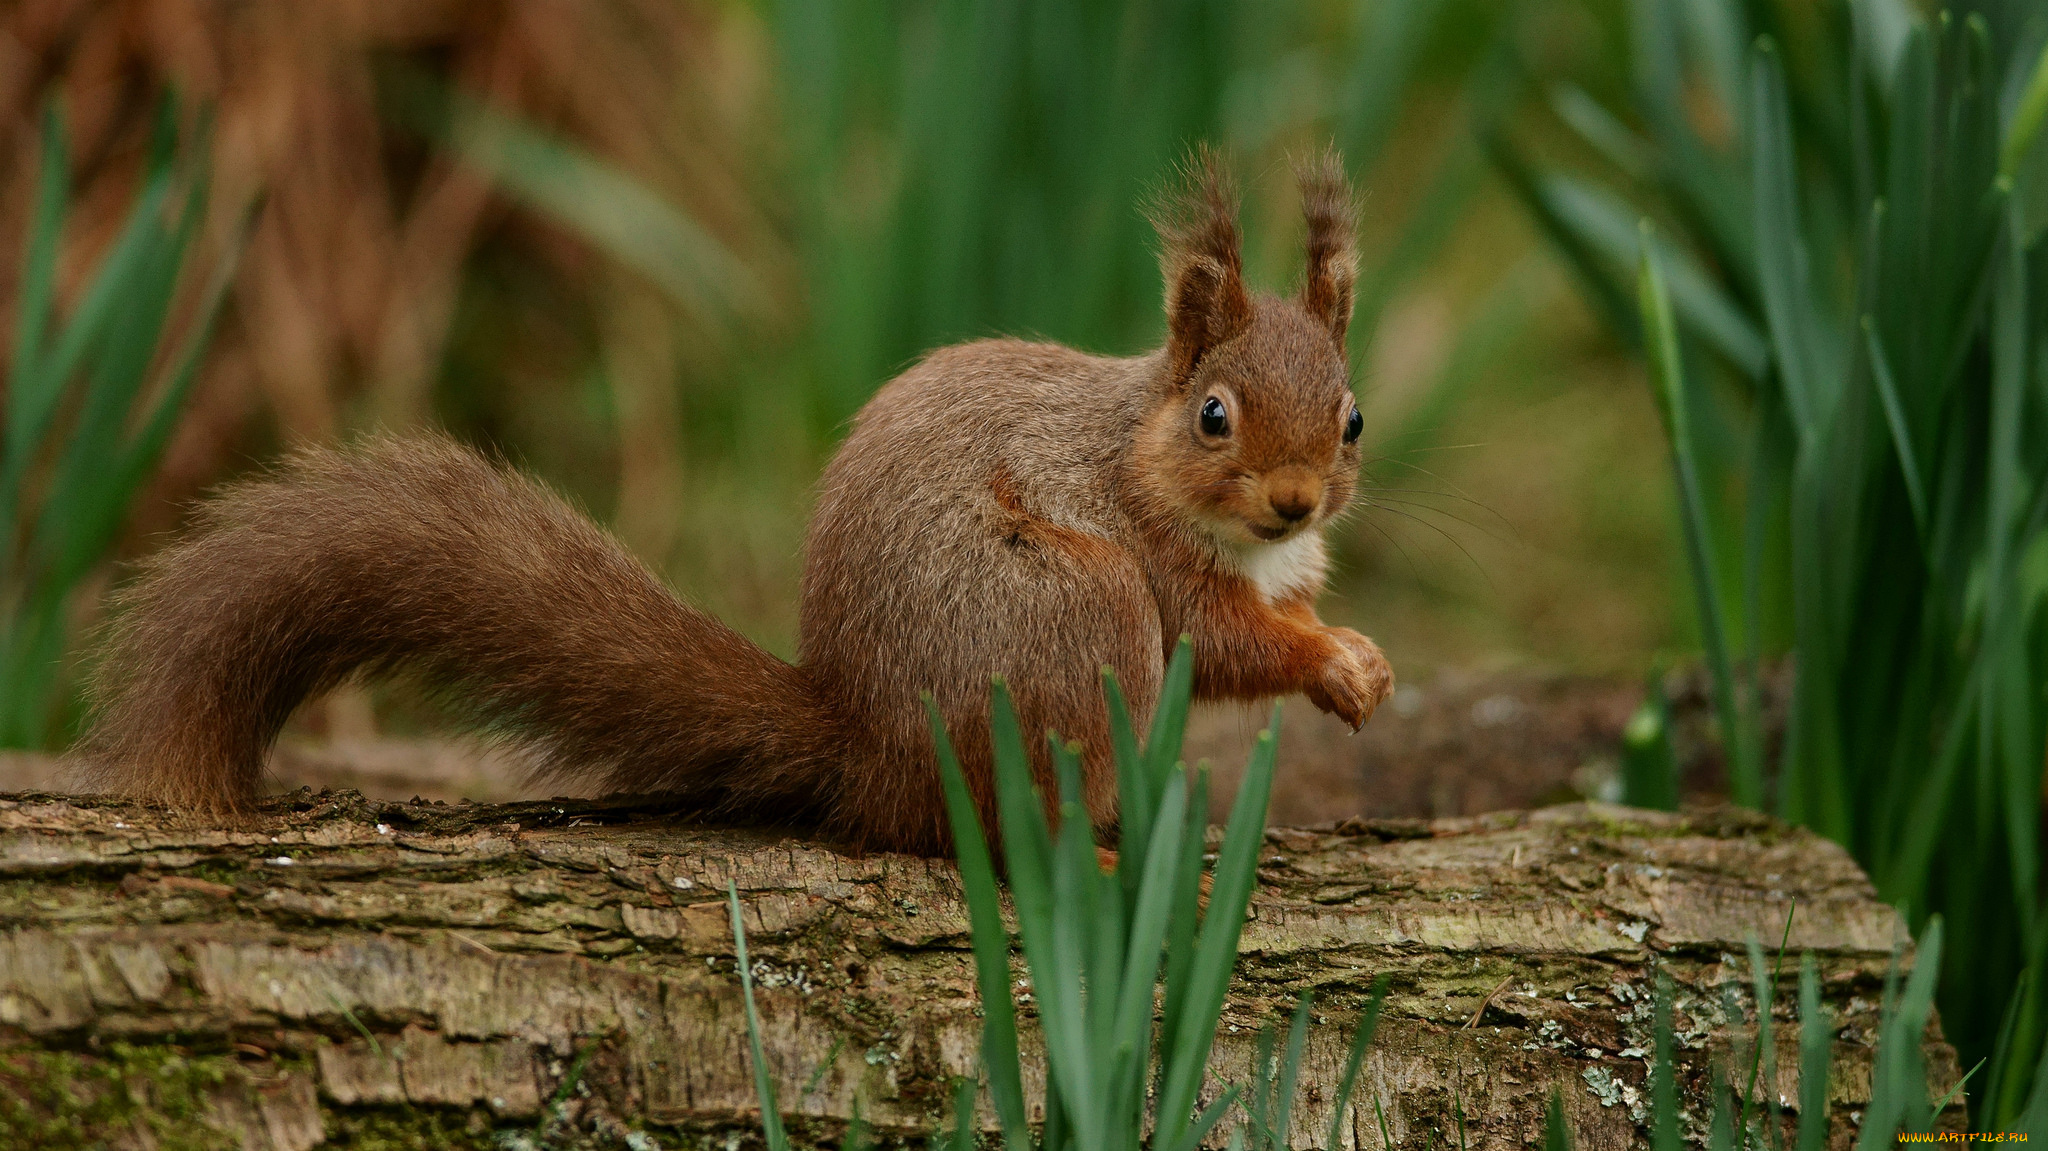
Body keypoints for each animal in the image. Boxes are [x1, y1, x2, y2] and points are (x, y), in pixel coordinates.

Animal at [75, 150, 1392, 851]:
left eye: (1352, 418)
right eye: (1213, 414)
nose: (1292, 503)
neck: (1137, 443)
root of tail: (868, 746)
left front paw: (1354, 651)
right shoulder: (1149, 548)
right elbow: (1220, 639)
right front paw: (1325, 658)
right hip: (1076, 611)